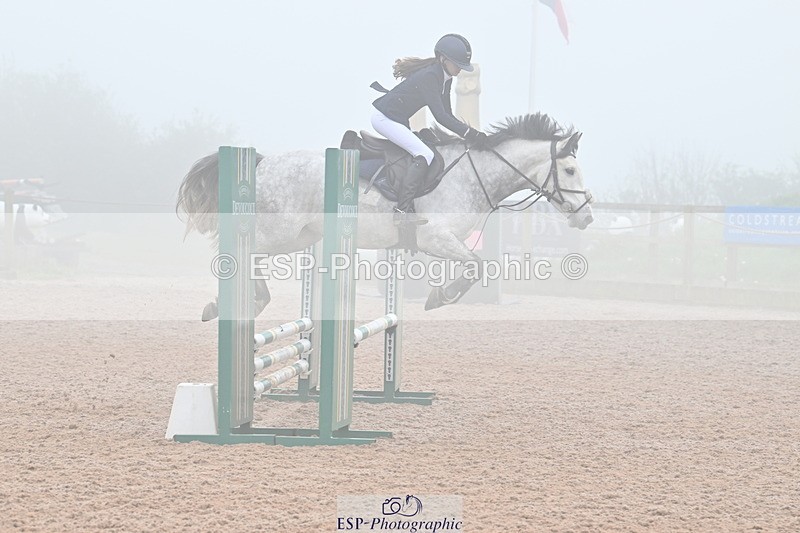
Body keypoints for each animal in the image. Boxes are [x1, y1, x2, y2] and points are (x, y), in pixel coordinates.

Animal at [177, 113, 594, 319]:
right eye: (570, 170)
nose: (587, 217)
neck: (473, 173)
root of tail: (262, 163)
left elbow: (479, 265)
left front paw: (441, 295)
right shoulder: (435, 237)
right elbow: (477, 265)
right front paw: (441, 297)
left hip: (300, 237)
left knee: (252, 259)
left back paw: (248, 302)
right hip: (279, 230)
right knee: (237, 255)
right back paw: (225, 304)